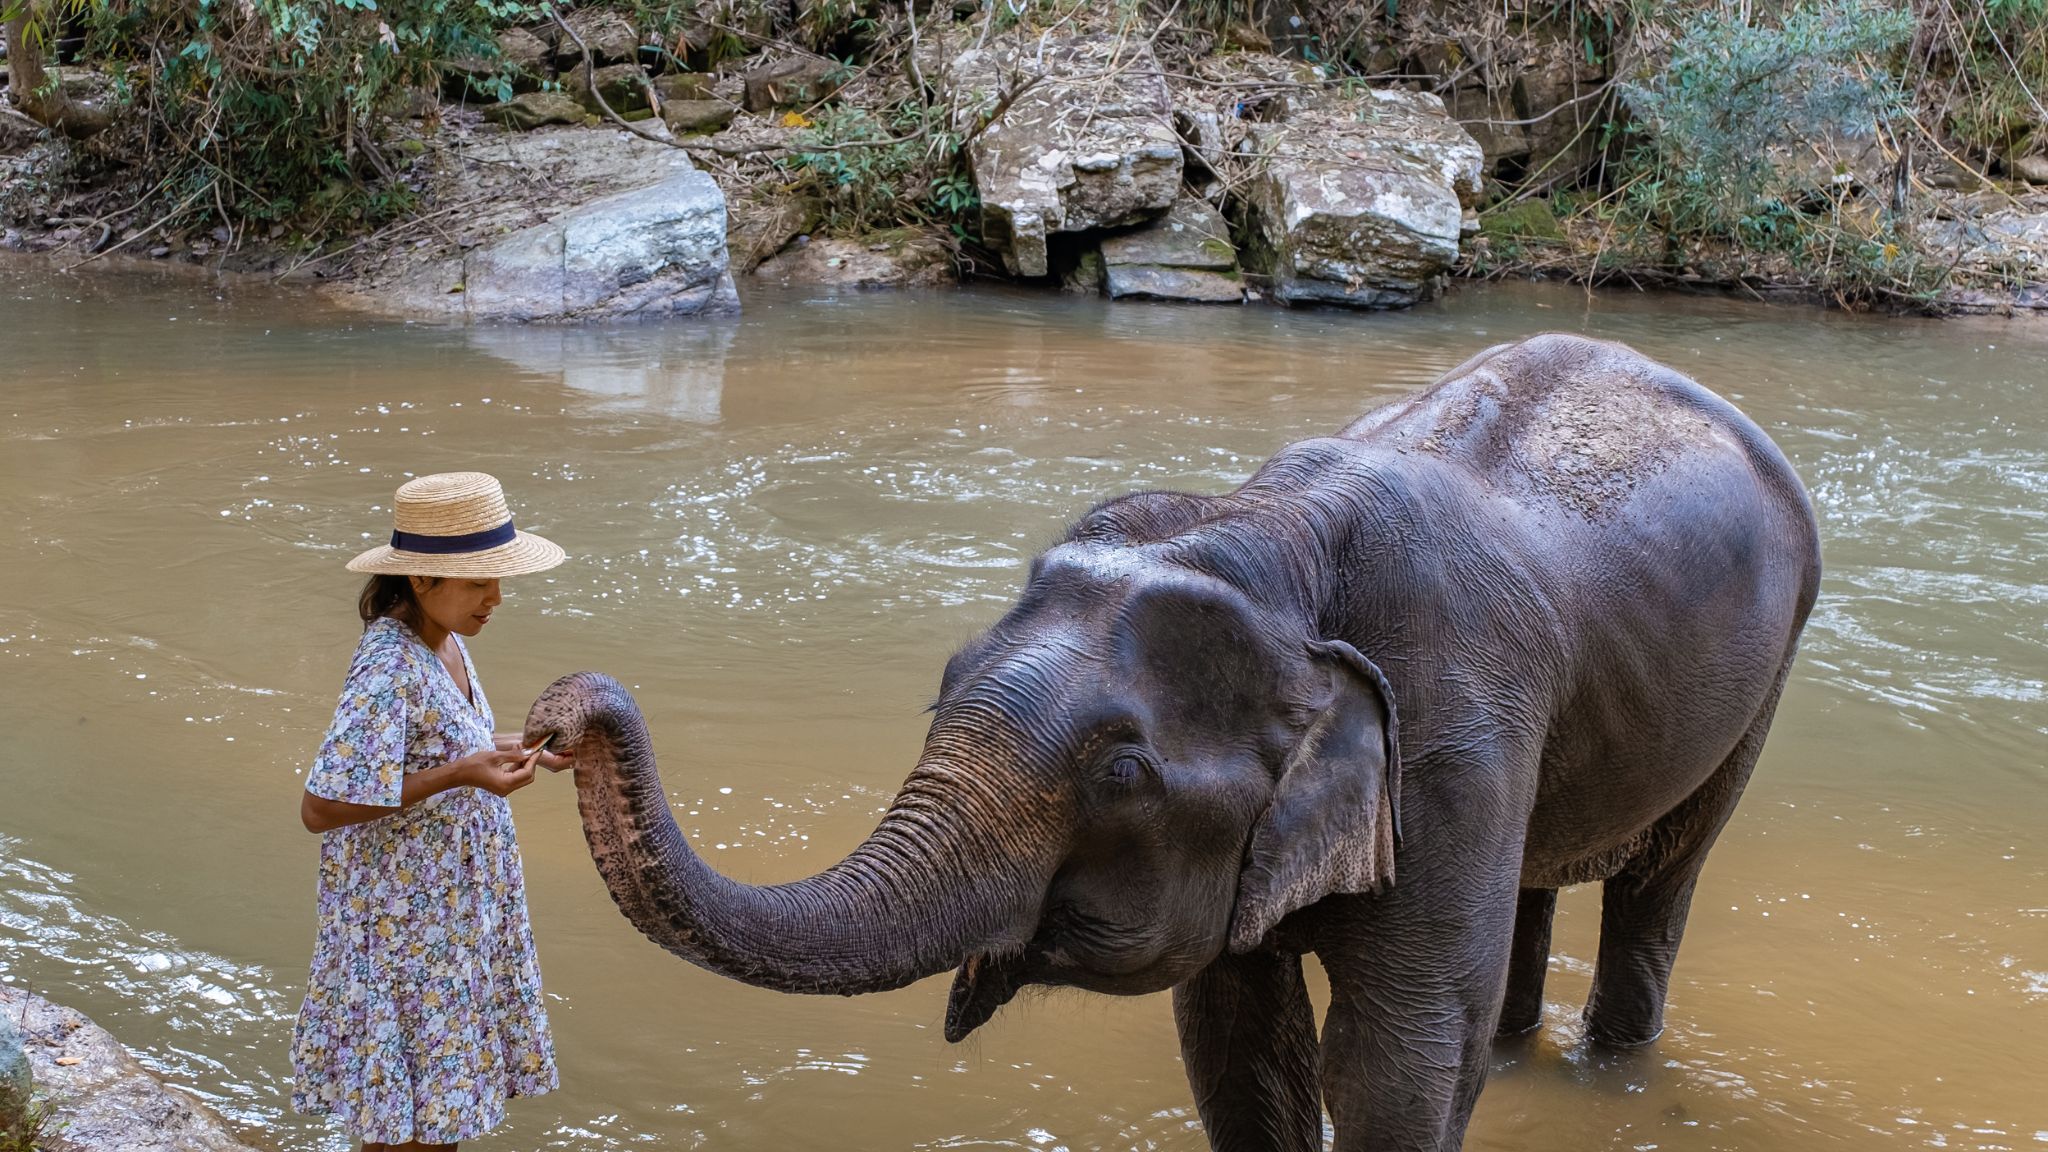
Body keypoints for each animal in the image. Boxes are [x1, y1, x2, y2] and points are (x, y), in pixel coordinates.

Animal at [524, 332, 1822, 1151]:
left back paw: (1606, 1067)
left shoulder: (1452, 744)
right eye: (939, 690)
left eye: (1120, 773)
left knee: (1660, 879)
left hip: (1761, 683)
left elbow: (1395, 1056)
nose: (558, 715)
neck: (1271, 540)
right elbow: (1236, 1045)